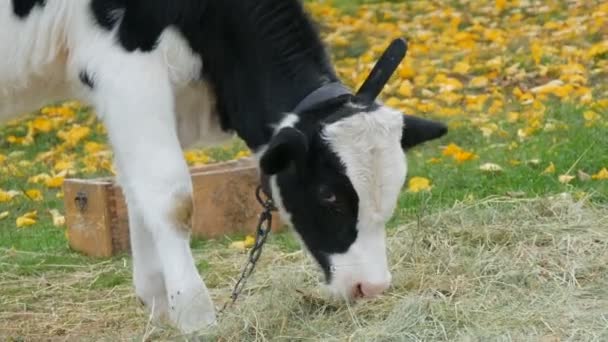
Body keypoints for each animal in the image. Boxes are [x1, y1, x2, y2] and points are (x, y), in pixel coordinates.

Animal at [0, 0, 446, 332]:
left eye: (393, 192)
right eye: (329, 196)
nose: (371, 287)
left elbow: (136, 187)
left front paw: (158, 303)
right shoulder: (125, 63)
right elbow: (171, 197)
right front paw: (195, 315)